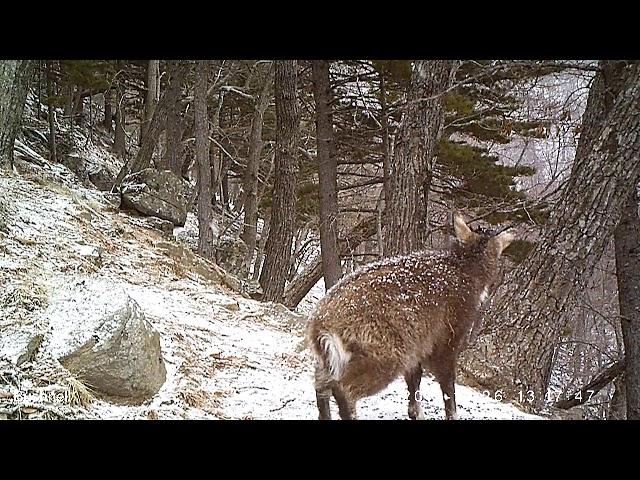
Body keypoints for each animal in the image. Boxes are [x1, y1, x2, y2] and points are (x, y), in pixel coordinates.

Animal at [306, 212, 516, 418]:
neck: (467, 270)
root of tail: (319, 324)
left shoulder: (418, 345)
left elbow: (414, 383)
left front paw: (416, 413)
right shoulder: (446, 340)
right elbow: (449, 391)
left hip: (329, 360)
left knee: (321, 387)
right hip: (386, 354)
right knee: (343, 389)